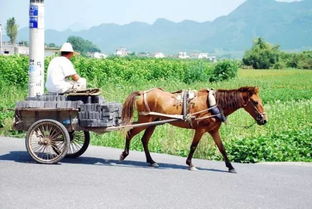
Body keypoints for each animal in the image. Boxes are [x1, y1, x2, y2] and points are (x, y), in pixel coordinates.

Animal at [119, 85, 266, 172]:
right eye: (256, 102)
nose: (264, 120)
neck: (214, 105)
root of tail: (142, 92)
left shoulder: (213, 130)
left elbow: (222, 148)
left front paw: (230, 167)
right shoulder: (200, 129)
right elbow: (193, 146)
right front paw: (190, 164)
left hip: (153, 122)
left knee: (144, 139)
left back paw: (151, 161)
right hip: (146, 121)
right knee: (130, 132)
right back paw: (124, 154)